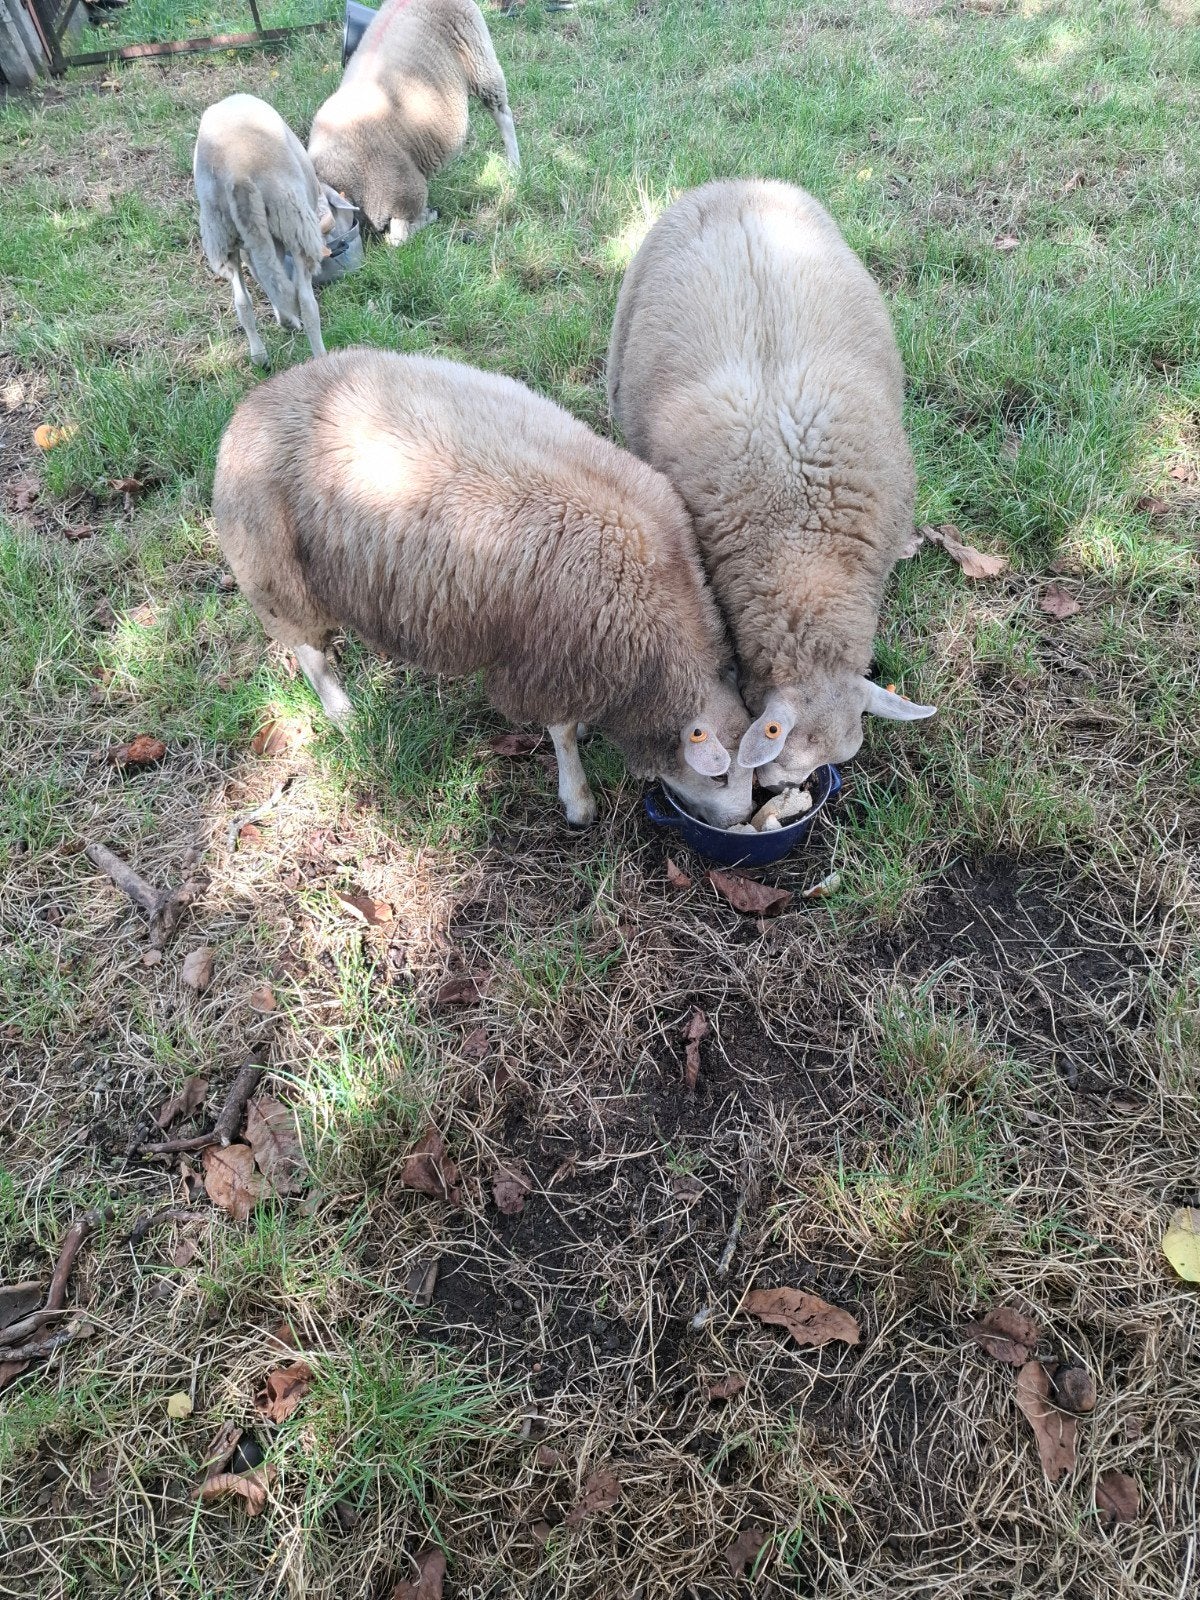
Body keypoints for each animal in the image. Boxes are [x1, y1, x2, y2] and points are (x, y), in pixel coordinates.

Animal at [194, 93, 340, 368]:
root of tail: (239, 172)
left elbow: (268, 277)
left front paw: (285, 320)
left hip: (221, 232)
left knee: (243, 300)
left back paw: (259, 355)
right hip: (295, 222)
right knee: (306, 302)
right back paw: (320, 356)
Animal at [212, 347, 756, 829]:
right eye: (720, 775)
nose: (743, 820)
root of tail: (253, 403)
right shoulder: (550, 655)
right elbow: (560, 732)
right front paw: (577, 799)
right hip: (275, 576)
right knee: (309, 654)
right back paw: (343, 714)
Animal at [307, 0, 519, 247]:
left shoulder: (406, 194)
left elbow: (397, 240)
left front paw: (428, 217)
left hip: (480, 58)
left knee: (502, 113)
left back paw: (515, 166)